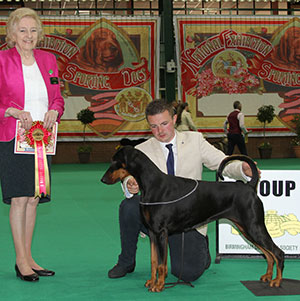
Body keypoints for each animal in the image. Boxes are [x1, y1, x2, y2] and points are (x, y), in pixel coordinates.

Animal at [102, 145, 284, 290]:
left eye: (114, 161)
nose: (103, 179)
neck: (151, 184)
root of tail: (250, 186)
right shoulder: (153, 233)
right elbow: (154, 262)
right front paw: (152, 282)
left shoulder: (161, 233)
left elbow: (161, 264)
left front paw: (159, 285)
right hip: (246, 229)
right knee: (268, 254)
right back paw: (267, 277)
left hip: (253, 226)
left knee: (277, 252)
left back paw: (277, 281)